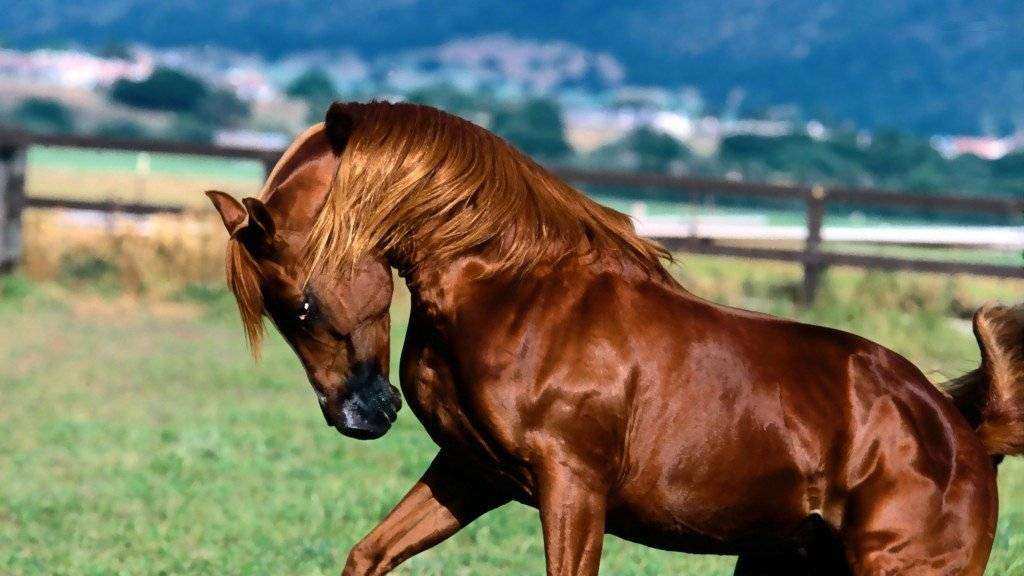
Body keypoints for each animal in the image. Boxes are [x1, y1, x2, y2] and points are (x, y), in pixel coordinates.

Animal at [205, 101, 1024, 575]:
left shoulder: (573, 486)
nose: (360, 416)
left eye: (300, 306)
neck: (515, 294)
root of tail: (965, 435)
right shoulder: (472, 473)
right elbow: (368, 555)